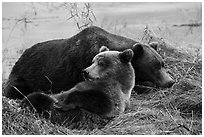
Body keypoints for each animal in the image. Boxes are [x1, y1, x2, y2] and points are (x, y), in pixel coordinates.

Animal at [3, 25, 175, 99]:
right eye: (155, 66)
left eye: (162, 63)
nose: (171, 81)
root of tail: (19, 58)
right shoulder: (86, 64)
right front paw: (147, 85)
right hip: (24, 76)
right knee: (15, 89)